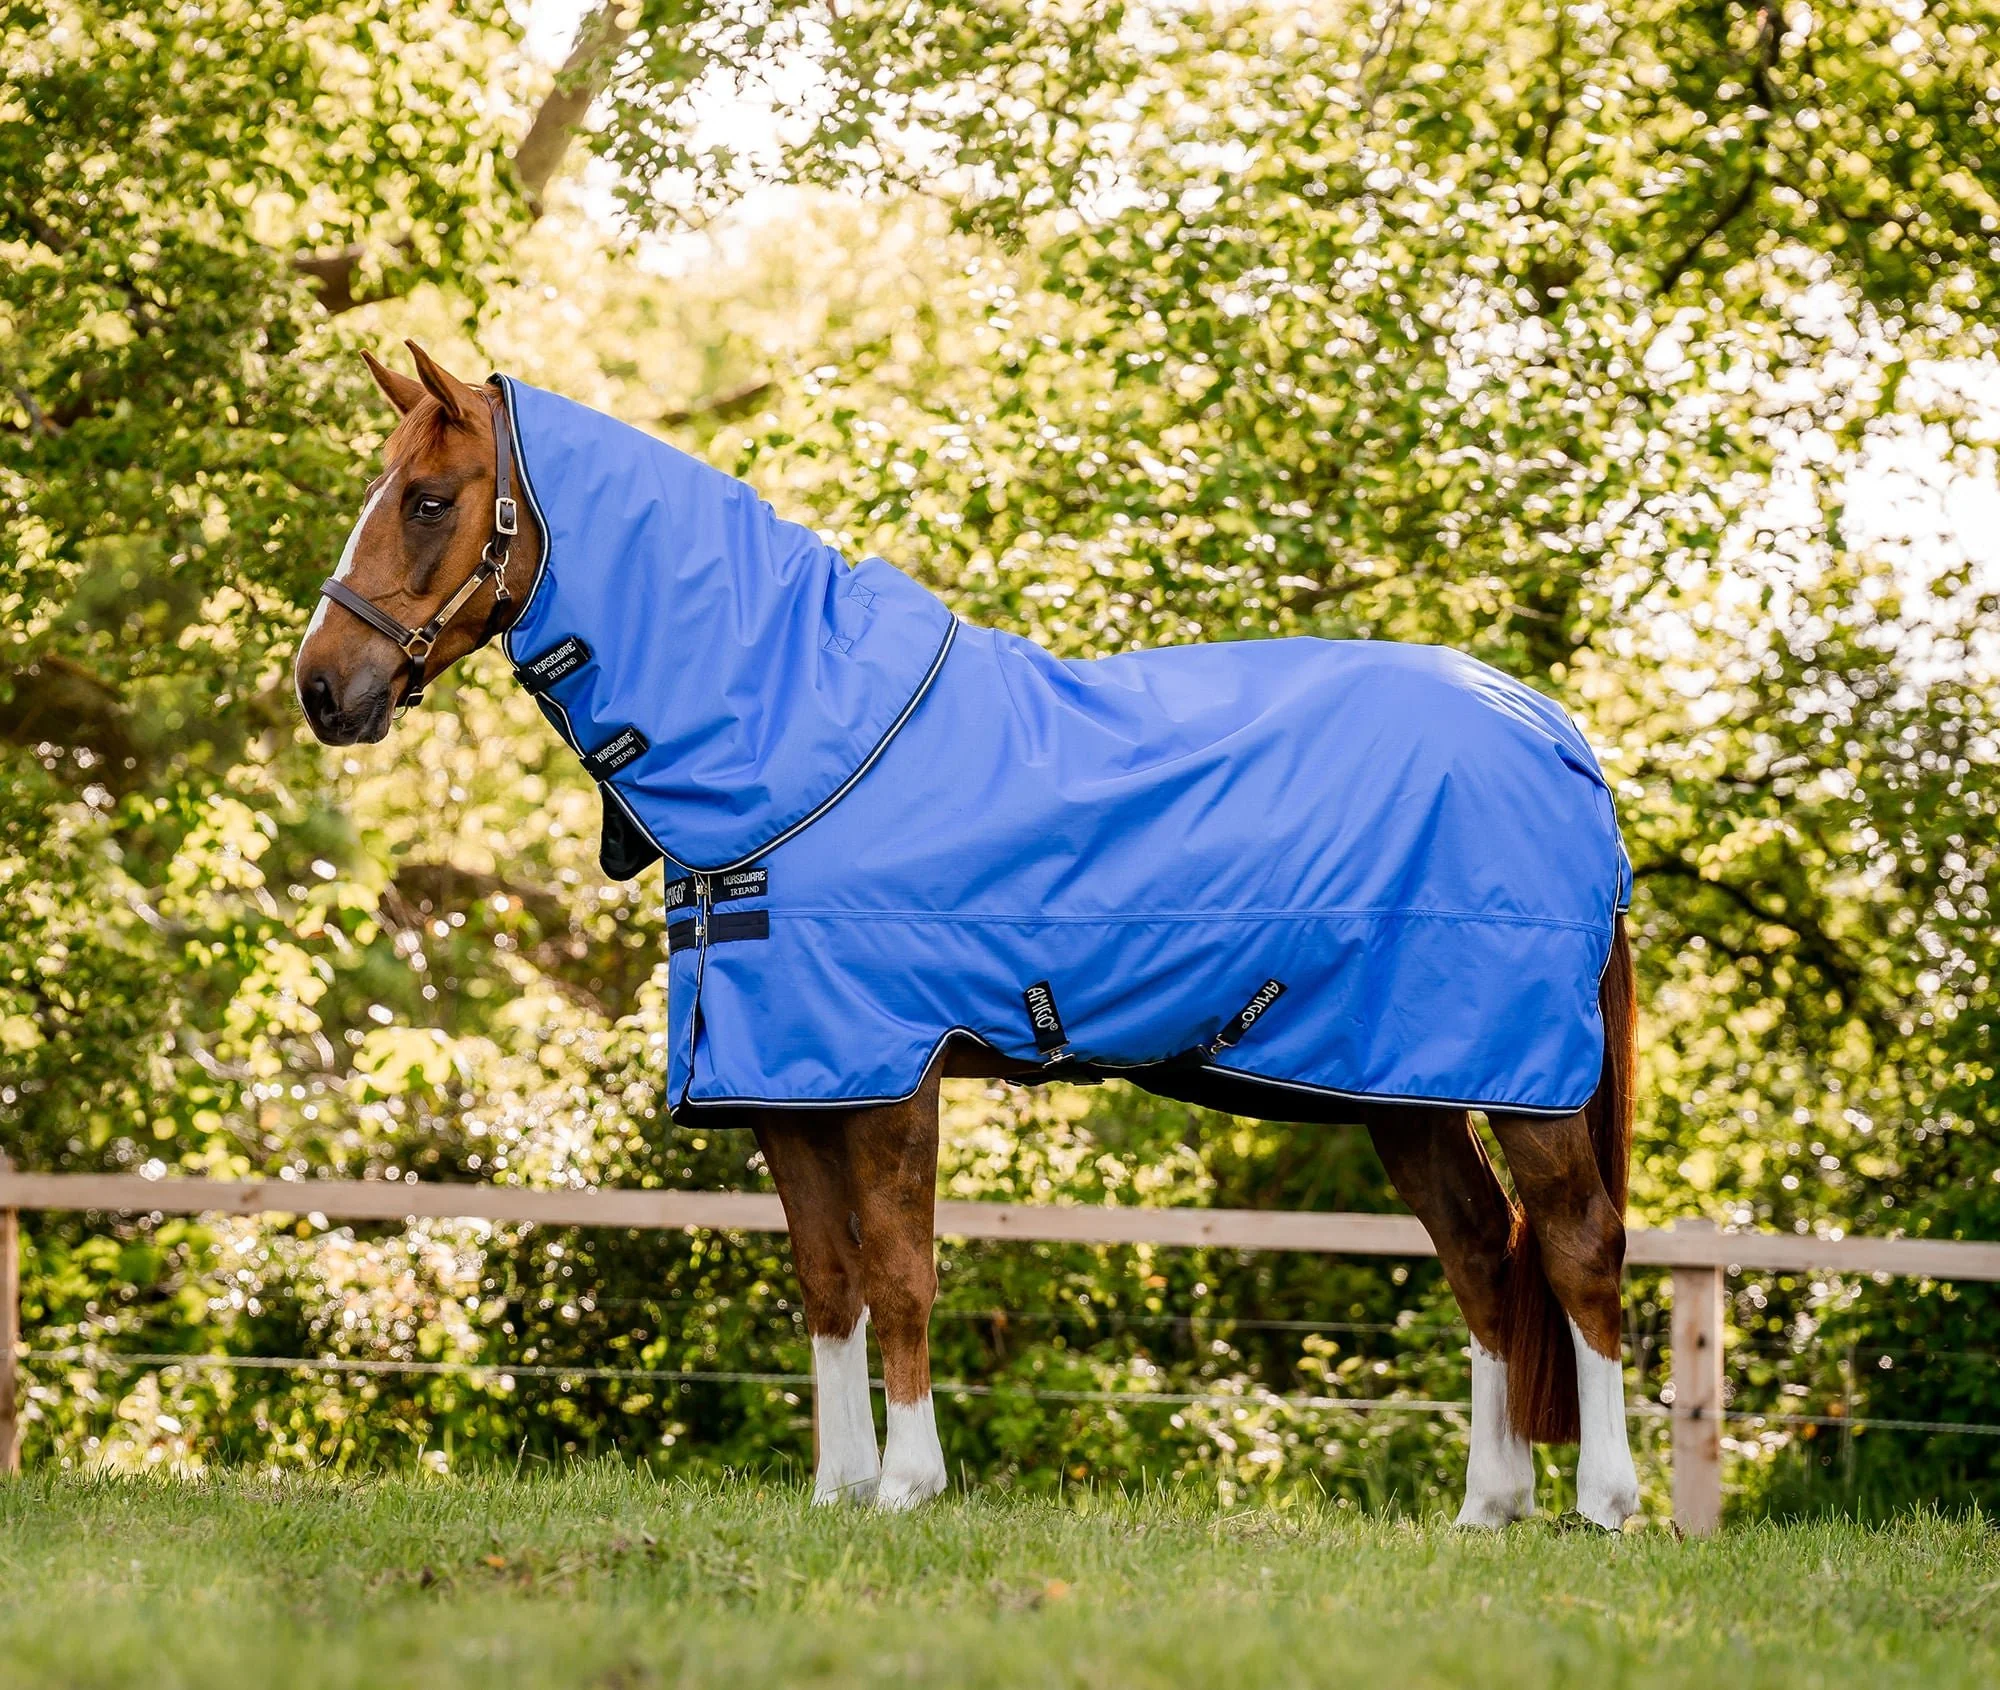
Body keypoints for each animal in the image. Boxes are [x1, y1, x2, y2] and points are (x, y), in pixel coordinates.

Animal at [295, 341, 1641, 1528]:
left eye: (427, 500)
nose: (322, 688)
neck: (802, 731)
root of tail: (1547, 725)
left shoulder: (894, 1071)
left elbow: (901, 1271)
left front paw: (907, 1486)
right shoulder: (786, 1086)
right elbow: (827, 1282)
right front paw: (838, 1488)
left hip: (1524, 1083)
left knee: (1575, 1247)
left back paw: (1607, 1506)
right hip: (1409, 1086)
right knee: (1480, 1257)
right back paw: (1487, 1506)